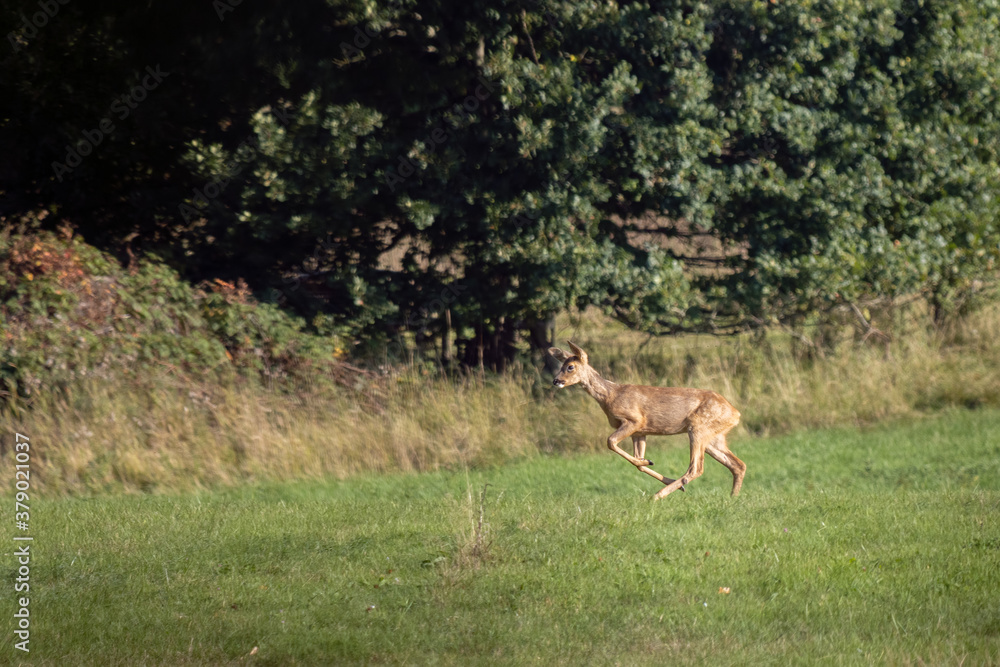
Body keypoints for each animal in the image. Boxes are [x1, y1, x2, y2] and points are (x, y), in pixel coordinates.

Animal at [548, 341, 745, 500]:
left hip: (698, 428)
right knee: (738, 465)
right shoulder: (640, 432)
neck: (610, 395)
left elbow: (610, 441)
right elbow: (637, 461)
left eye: (570, 367)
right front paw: (649, 463)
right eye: (561, 365)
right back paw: (731, 498)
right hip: (713, 437)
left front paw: (655, 468)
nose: (556, 380)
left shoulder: (635, 420)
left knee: (696, 468)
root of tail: (736, 413)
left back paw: (657, 496)